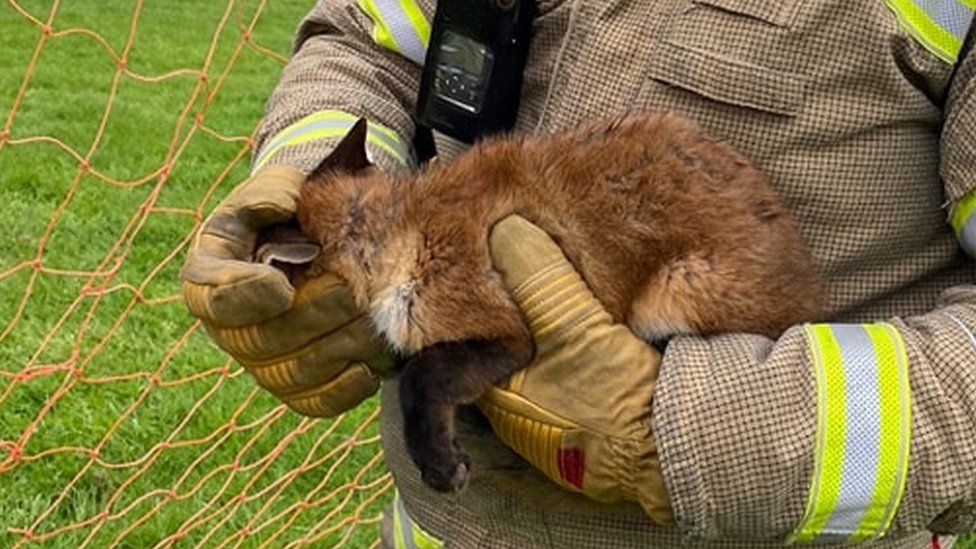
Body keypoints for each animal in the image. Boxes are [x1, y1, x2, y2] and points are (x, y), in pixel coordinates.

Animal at [290, 111, 824, 492]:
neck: (397, 224)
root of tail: (810, 298)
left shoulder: (500, 328)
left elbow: (420, 378)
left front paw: (442, 463)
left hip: (673, 293)